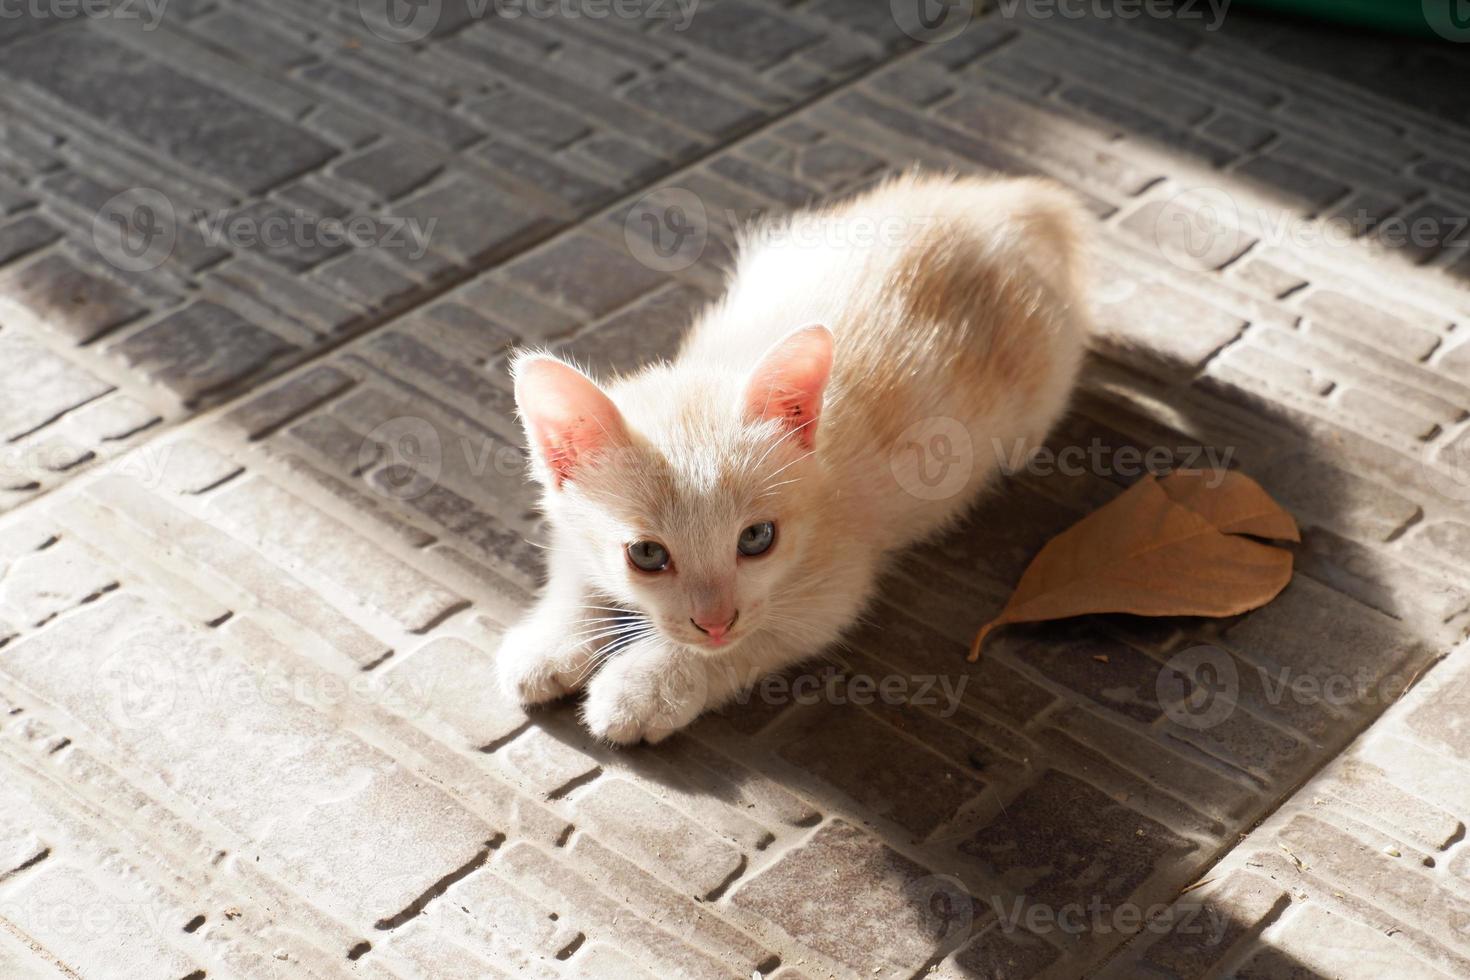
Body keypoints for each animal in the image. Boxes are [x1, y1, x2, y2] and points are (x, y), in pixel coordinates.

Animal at [499, 174, 1087, 743]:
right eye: (646, 554)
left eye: (757, 539)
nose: (715, 622)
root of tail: (1008, 200)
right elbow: (573, 567)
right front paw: (548, 641)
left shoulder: (833, 586)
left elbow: (758, 635)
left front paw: (648, 685)